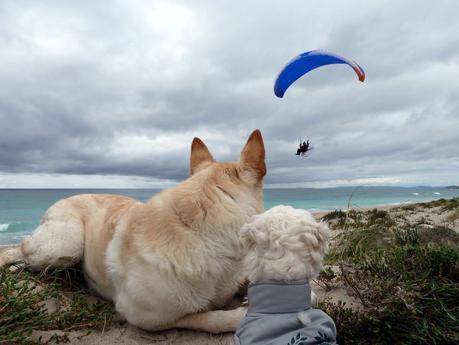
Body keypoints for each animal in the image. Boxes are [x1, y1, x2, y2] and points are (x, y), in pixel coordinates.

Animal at [0, 130, 266, 334]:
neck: (200, 232)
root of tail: (67, 196)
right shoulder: (146, 317)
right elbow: (209, 318)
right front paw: (240, 315)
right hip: (65, 244)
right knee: (19, 249)